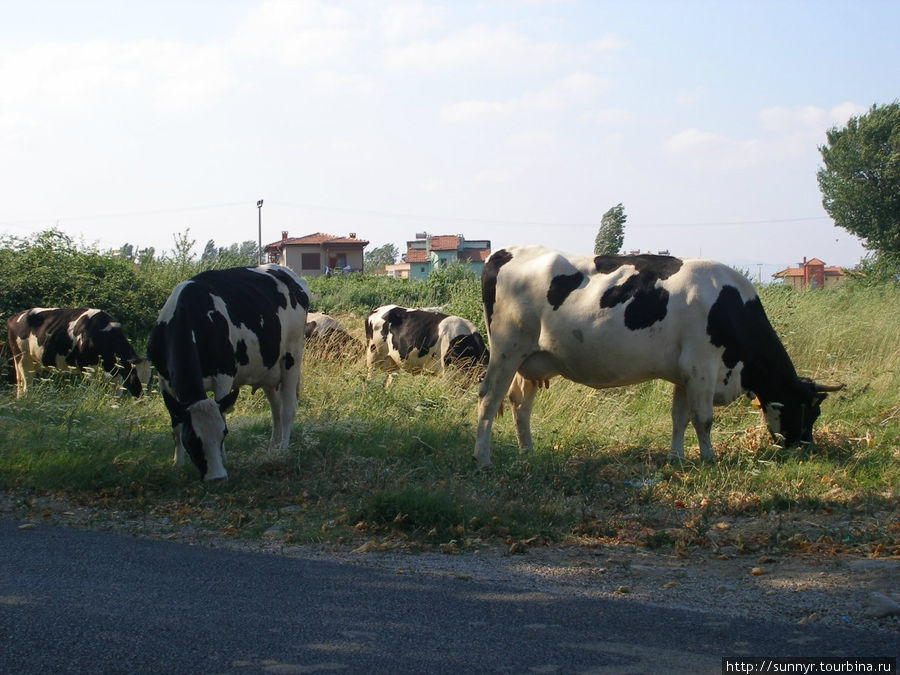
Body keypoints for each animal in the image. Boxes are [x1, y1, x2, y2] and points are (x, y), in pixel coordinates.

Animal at [6, 308, 149, 398]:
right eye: (134, 377)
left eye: (149, 378)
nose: (141, 399)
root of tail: (14, 317)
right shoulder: (88, 368)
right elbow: (92, 390)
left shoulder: (114, 371)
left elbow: (116, 392)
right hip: (23, 358)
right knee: (27, 384)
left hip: (32, 362)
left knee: (20, 382)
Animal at [149, 264, 312, 480]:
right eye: (192, 439)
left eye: (223, 433)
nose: (216, 477)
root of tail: (287, 272)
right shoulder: (163, 379)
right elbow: (175, 424)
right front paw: (177, 464)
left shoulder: (224, 375)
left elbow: (223, 413)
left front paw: (224, 459)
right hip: (268, 369)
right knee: (276, 408)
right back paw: (273, 448)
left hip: (292, 356)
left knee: (287, 409)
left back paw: (283, 450)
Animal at [474, 248, 840, 470]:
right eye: (809, 411)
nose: (805, 447)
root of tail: (506, 252)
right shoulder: (702, 367)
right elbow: (704, 419)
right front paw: (709, 459)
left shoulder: (685, 374)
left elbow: (679, 418)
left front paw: (676, 457)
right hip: (506, 352)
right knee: (489, 400)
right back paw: (484, 458)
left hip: (530, 360)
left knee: (521, 404)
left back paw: (527, 452)